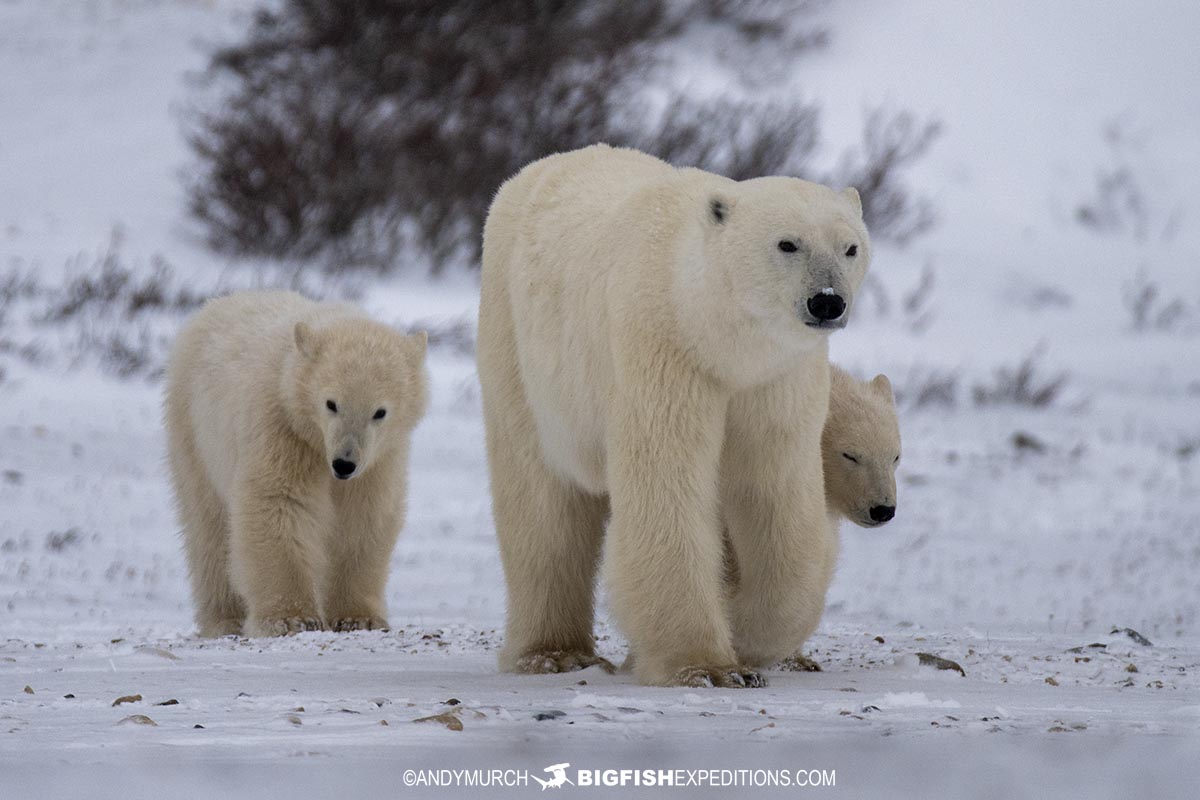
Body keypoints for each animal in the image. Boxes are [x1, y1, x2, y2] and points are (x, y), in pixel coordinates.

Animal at [164, 290, 428, 638]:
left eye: (380, 412)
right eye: (331, 403)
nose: (344, 464)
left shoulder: (380, 458)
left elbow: (362, 517)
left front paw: (358, 618)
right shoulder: (281, 426)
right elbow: (279, 502)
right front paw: (291, 619)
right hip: (193, 430)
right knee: (208, 525)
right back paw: (225, 619)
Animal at [477, 144, 870, 687]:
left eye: (850, 247)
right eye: (787, 244)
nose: (827, 302)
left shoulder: (775, 380)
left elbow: (773, 489)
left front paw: (747, 632)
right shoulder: (663, 349)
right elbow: (666, 485)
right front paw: (707, 665)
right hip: (521, 353)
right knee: (542, 502)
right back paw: (553, 653)